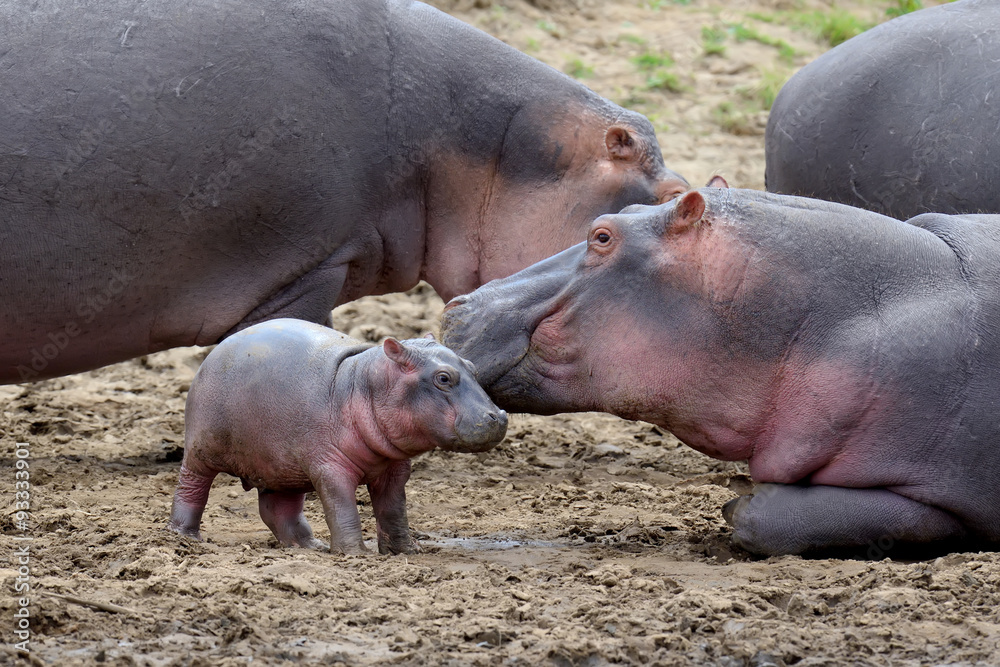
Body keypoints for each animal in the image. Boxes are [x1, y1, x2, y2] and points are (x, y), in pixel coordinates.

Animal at [171, 320, 508, 556]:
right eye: (443, 378)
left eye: (473, 367)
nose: (499, 416)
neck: (363, 383)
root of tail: (215, 351)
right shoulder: (329, 466)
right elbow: (342, 507)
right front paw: (355, 554)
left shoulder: (394, 468)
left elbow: (394, 509)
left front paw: (406, 551)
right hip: (200, 450)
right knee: (191, 489)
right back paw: (184, 537)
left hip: (280, 467)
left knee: (278, 510)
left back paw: (310, 547)